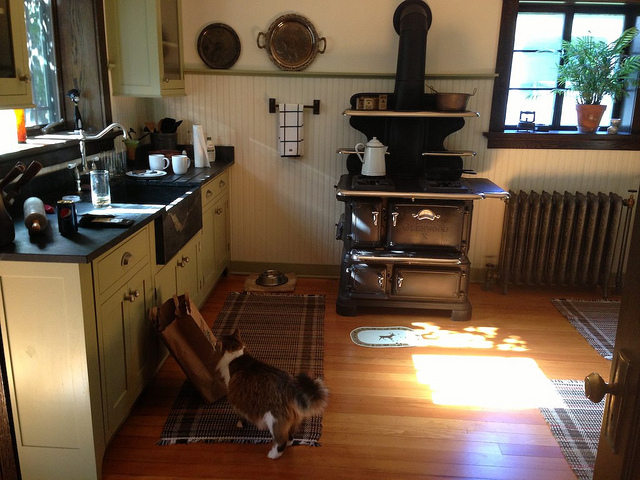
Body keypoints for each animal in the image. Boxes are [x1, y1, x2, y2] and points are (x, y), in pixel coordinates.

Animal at [215, 328, 329, 459]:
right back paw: (288, 443)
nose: (214, 343)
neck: (236, 355)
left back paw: (273, 454)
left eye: (216, 343)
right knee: (290, 436)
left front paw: (240, 424)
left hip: (273, 420)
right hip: (290, 419)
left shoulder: (237, 399)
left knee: (281, 441)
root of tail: (290, 386)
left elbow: (242, 415)